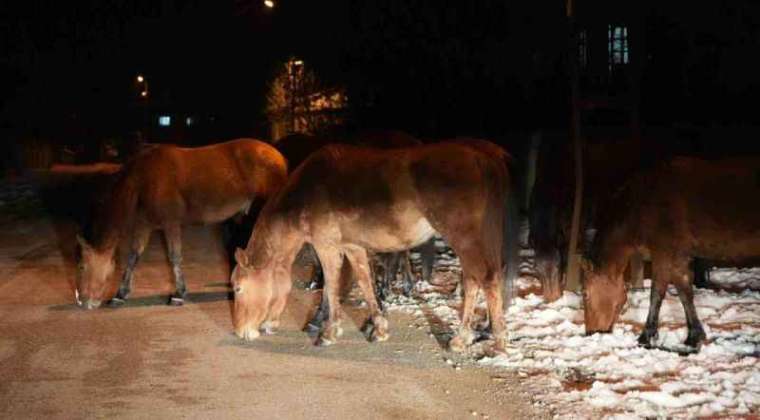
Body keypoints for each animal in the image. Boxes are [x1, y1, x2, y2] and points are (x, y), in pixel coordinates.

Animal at [75, 140, 288, 308]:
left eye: (82, 266)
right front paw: (120, 294)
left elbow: (174, 256)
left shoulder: (171, 224)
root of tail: (279, 158)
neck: (143, 179)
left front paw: (178, 294)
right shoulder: (144, 225)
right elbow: (134, 256)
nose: (81, 301)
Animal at [232, 141, 516, 352]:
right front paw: (378, 327)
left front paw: (328, 331)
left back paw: (488, 341)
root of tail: (485, 158)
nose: (239, 331)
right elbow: (365, 282)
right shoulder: (352, 247)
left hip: (466, 239)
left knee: (486, 279)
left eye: (237, 288)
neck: (304, 193)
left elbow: (331, 286)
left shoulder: (326, 246)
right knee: (475, 279)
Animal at [580, 156, 760, 350]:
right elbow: (685, 292)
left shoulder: (664, 253)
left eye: (585, 294)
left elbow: (657, 293)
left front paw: (646, 337)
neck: (642, 205)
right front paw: (693, 336)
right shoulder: (678, 256)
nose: (590, 332)